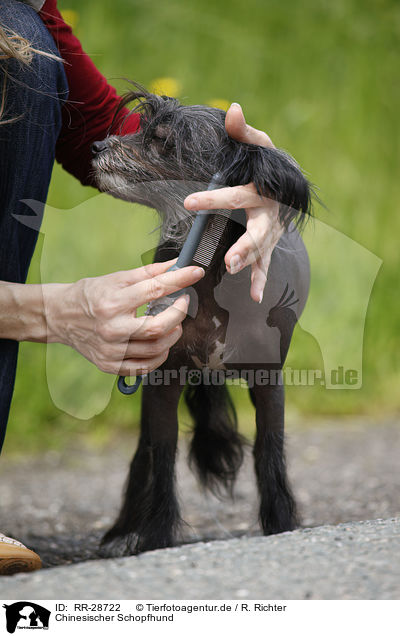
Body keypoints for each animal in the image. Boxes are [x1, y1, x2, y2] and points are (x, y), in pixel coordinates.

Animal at [91, 87, 312, 556]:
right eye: (140, 127)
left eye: (161, 140)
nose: (98, 145)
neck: (210, 271)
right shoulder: (161, 381)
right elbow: (161, 461)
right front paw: (155, 536)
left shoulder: (269, 382)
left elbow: (268, 452)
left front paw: (280, 524)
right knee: (142, 457)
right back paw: (122, 530)